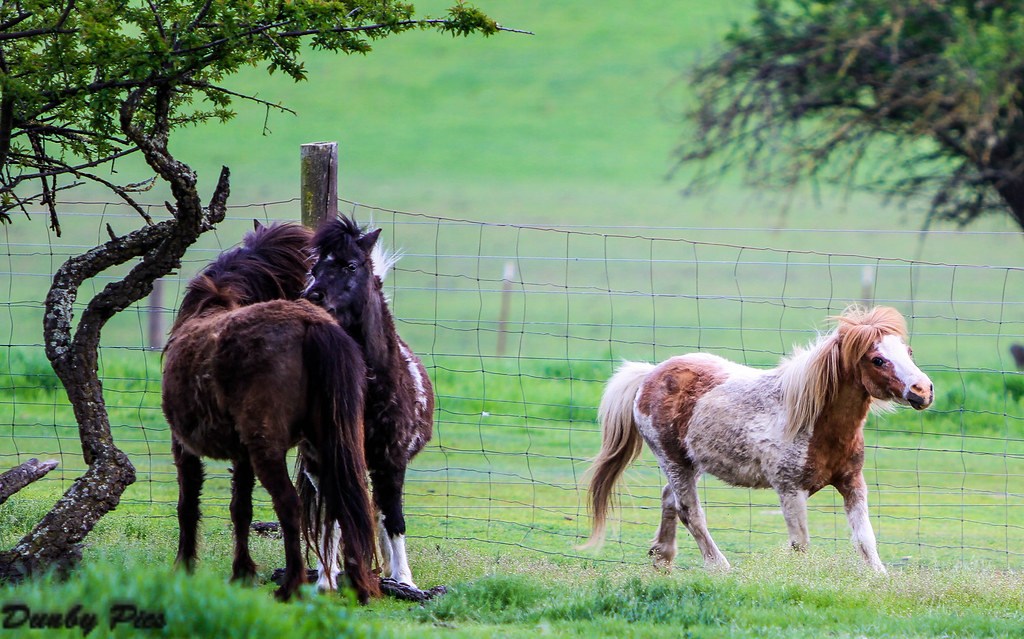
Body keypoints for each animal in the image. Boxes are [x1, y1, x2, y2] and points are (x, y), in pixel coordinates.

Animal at [161, 221, 379, 602]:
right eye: (312, 266)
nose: (315, 295)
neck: (212, 302)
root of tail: (312, 325)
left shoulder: (184, 445)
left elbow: (188, 505)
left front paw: (184, 568)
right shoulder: (242, 453)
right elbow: (241, 510)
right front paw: (241, 573)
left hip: (269, 448)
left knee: (289, 505)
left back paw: (291, 586)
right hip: (329, 443)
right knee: (344, 504)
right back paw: (356, 586)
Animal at [301, 215, 434, 590]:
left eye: (351, 265)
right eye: (314, 268)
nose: (311, 296)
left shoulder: (391, 461)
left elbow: (394, 518)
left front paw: (404, 580)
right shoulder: (326, 461)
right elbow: (333, 518)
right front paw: (325, 580)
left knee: (377, 508)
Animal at [583, 306, 934, 573]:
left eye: (908, 351)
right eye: (877, 359)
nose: (923, 390)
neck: (813, 423)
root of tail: (649, 375)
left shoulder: (852, 482)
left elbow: (865, 538)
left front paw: (879, 577)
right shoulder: (790, 490)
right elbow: (801, 543)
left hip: (690, 464)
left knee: (669, 499)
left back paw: (662, 559)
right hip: (673, 460)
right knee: (690, 512)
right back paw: (719, 567)